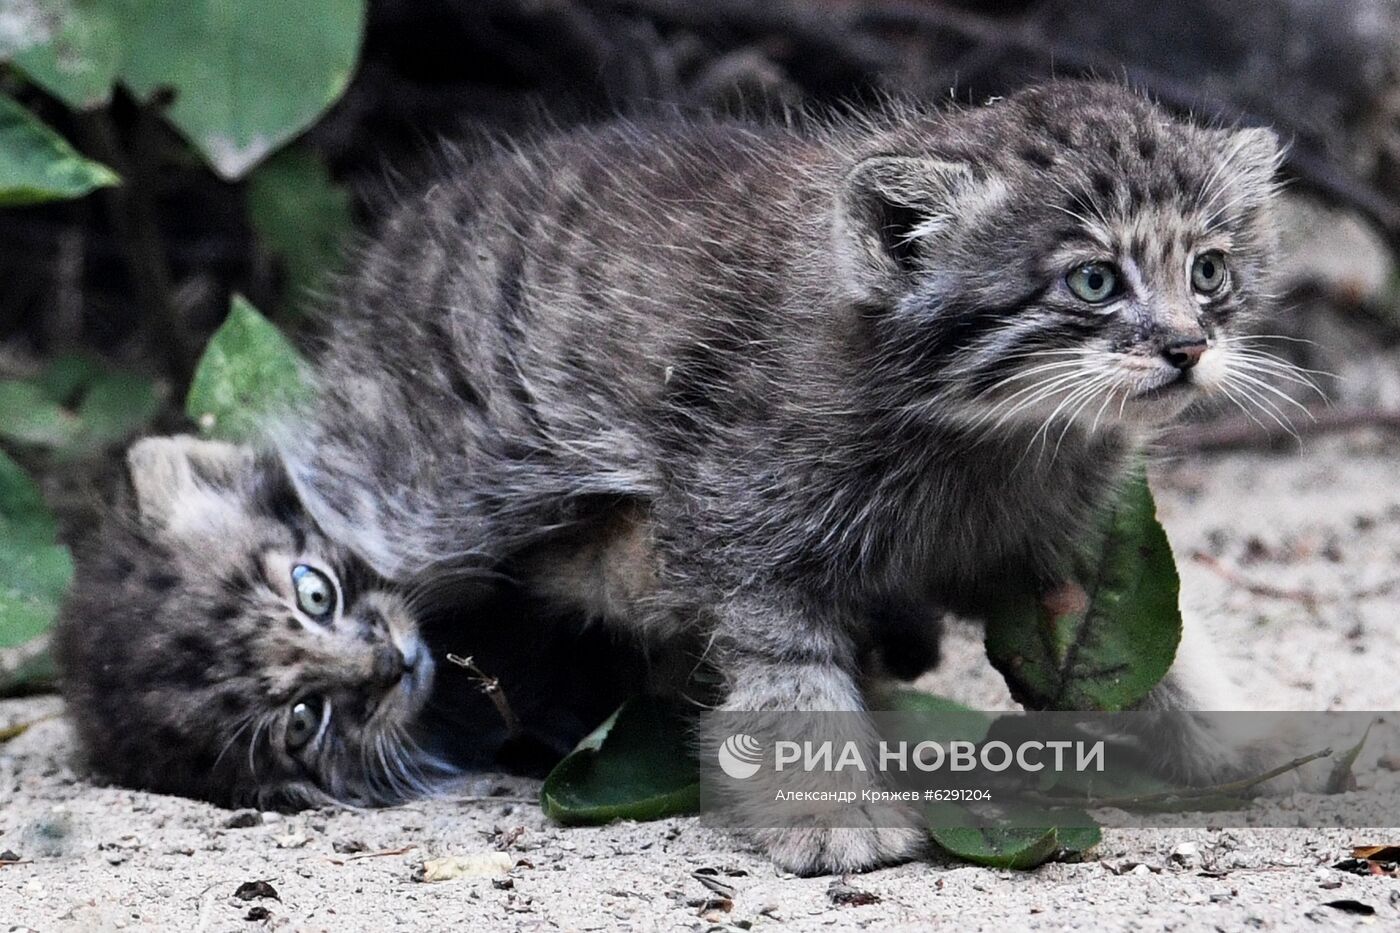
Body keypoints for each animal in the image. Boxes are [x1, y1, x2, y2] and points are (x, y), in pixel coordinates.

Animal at [267, 81, 1282, 874]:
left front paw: (1225, 732)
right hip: (417, 506)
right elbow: (793, 680)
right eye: (1094, 282)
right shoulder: (744, 526)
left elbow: (1162, 642)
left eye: (1209, 270)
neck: (997, 436)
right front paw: (833, 811)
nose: (1189, 346)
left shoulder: (1064, 541)